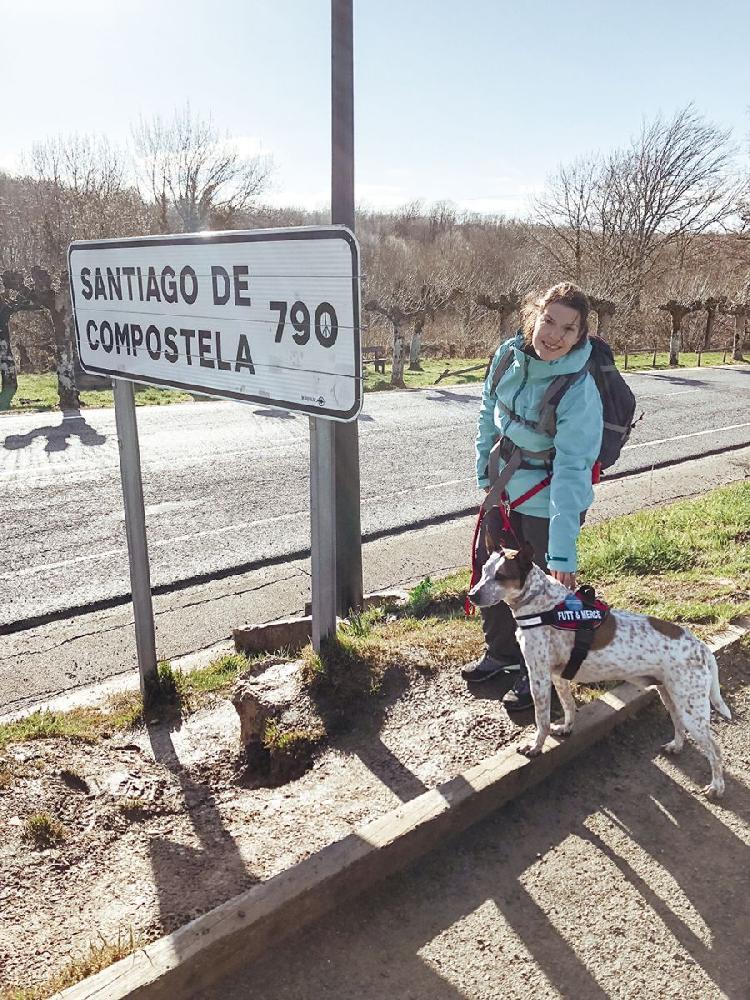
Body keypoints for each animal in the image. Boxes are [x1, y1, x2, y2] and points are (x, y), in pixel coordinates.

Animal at [470, 540, 736, 796]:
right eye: (483, 571)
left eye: (501, 575)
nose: (472, 595)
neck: (542, 605)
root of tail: (701, 645)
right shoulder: (558, 677)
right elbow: (569, 706)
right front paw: (566, 728)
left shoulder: (539, 677)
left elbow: (541, 720)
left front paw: (536, 747)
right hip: (671, 697)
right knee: (679, 724)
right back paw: (676, 746)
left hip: (693, 710)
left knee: (715, 750)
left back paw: (717, 787)